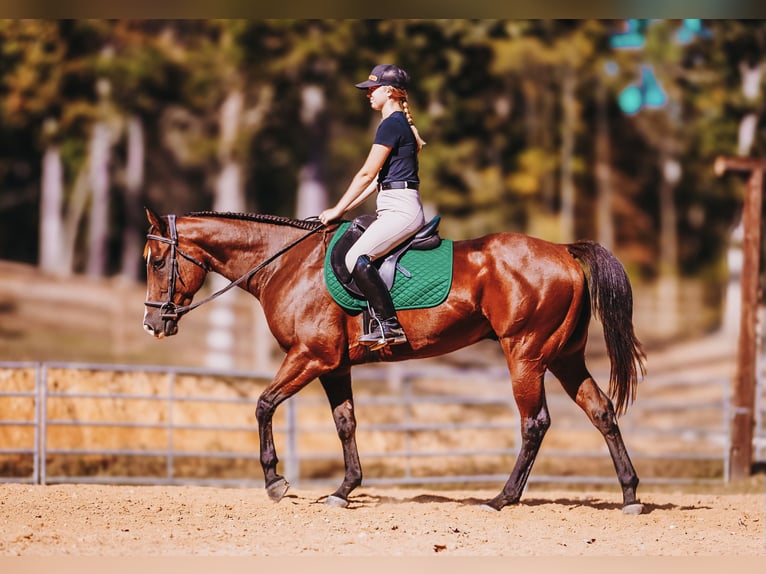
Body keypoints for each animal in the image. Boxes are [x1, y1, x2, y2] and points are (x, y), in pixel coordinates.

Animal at [142, 208, 647, 514]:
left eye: (157, 261)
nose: (152, 324)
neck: (285, 264)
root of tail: (562, 251)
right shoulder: (334, 366)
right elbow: (345, 422)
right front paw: (345, 489)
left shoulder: (309, 357)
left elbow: (264, 405)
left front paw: (274, 481)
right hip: (563, 357)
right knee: (601, 411)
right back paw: (629, 494)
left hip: (524, 354)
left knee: (535, 423)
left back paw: (502, 498)